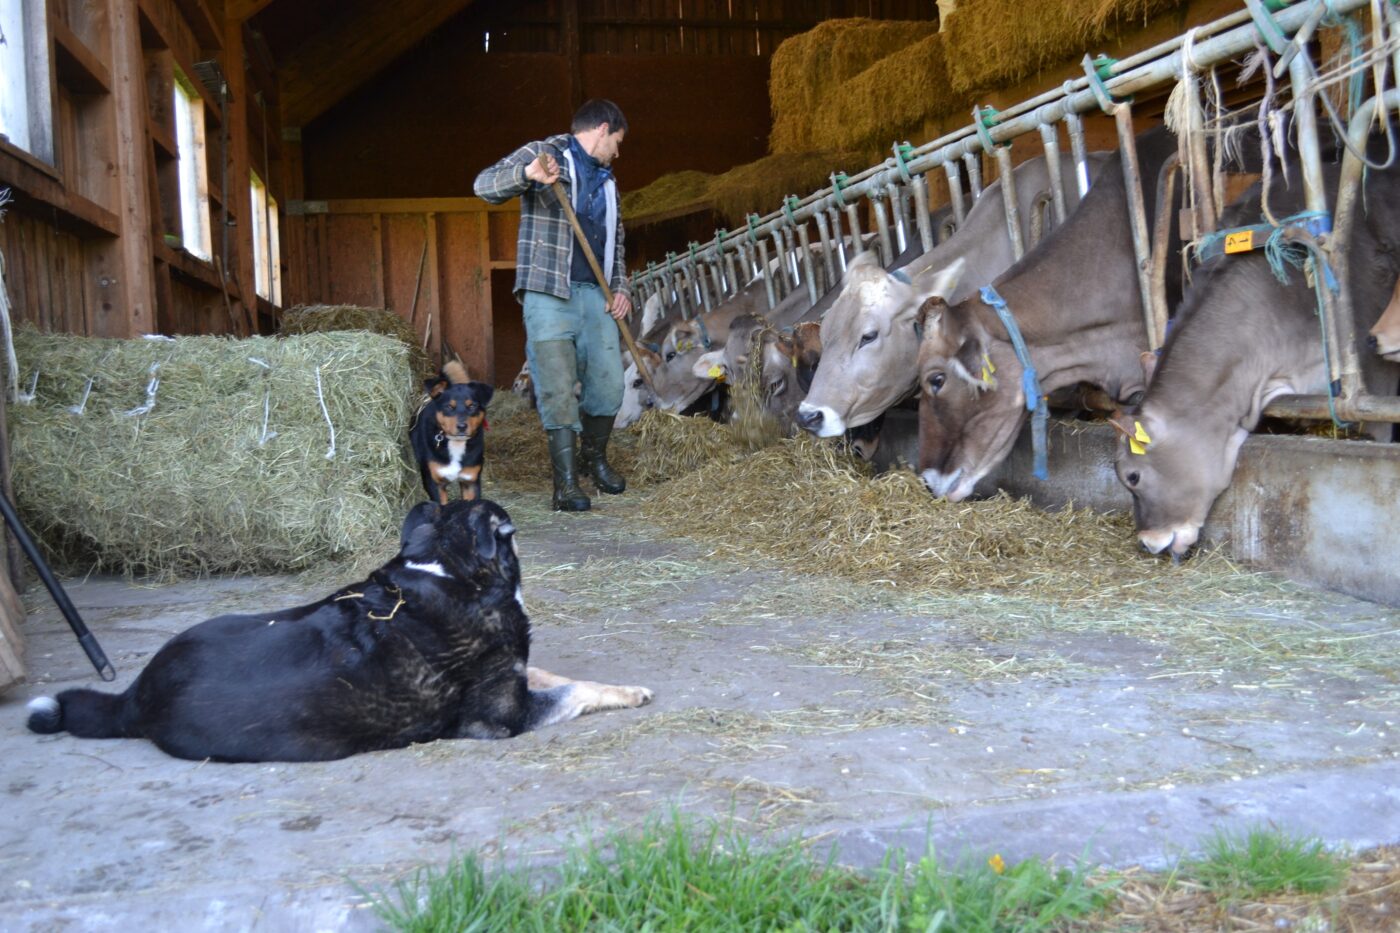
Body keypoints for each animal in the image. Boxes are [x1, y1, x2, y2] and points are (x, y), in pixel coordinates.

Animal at [27, 498, 649, 762]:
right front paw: (627, 692)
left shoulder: (516, 675)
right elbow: (574, 690)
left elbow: (552, 672)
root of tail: (133, 699)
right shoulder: (503, 717)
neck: (447, 573)